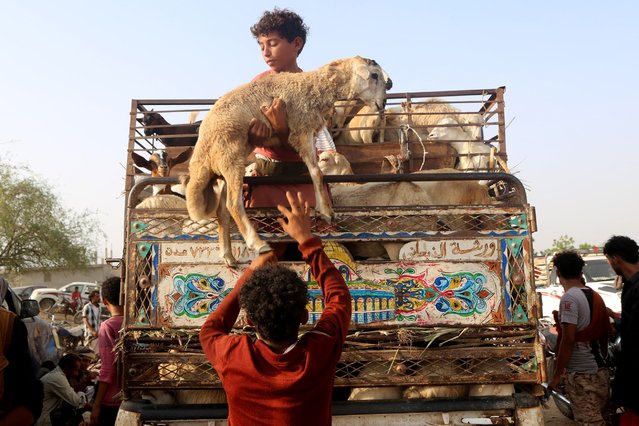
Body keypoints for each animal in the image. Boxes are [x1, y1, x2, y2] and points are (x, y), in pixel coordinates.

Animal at [186, 56, 390, 262]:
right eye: (374, 75)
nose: (383, 104)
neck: (315, 87)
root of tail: (201, 152)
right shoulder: (301, 130)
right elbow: (316, 172)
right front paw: (326, 210)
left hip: (222, 170)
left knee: (222, 212)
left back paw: (228, 256)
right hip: (230, 157)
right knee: (233, 205)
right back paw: (257, 244)